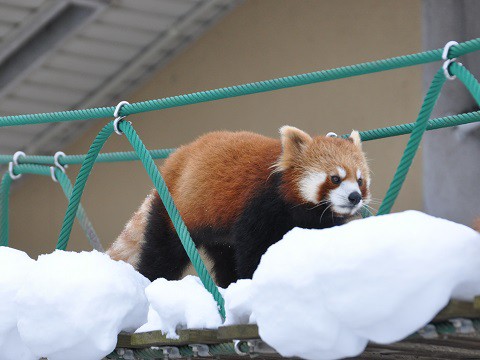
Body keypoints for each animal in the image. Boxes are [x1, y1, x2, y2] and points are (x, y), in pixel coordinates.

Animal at [108, 126, 372, 286]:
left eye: (360, 180)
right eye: (335, 178)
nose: (354, 197)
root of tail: (175, 160)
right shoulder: (260, 208)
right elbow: (252, 251)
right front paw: (254, 280)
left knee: (223, 256)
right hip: (173, 212)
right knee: (162, 254)